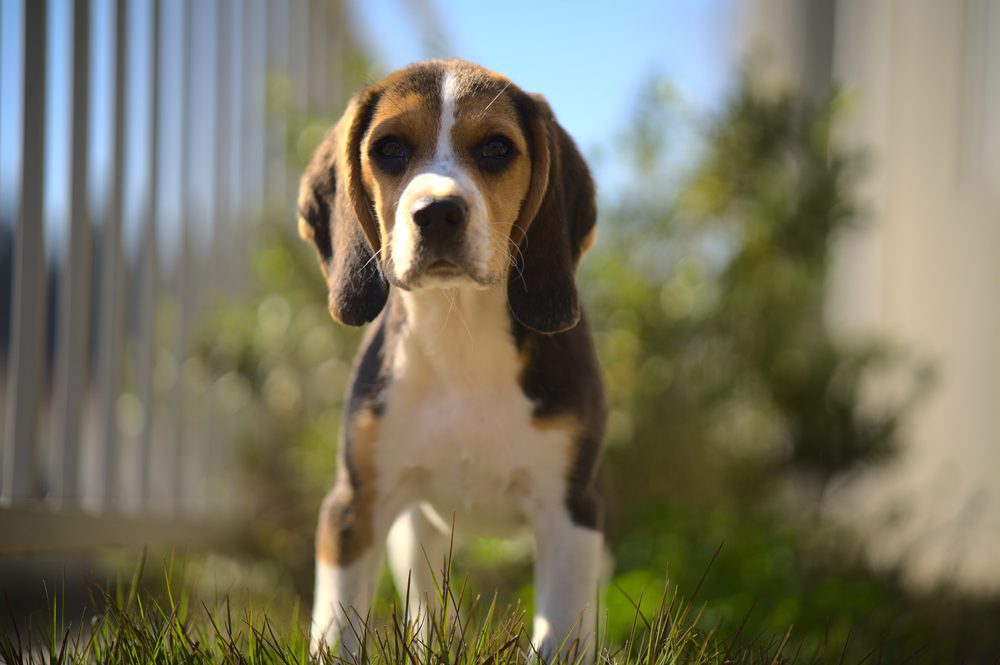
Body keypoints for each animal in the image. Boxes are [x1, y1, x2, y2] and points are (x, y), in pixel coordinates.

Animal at [296, 59, 604, 660]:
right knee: (427, 605)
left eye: (497, 148)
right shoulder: (352, 507)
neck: (458, 334)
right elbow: (337, 629)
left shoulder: (570, 515)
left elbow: (559, 633)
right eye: (389, 148)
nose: (438, 212)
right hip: (413, 532)